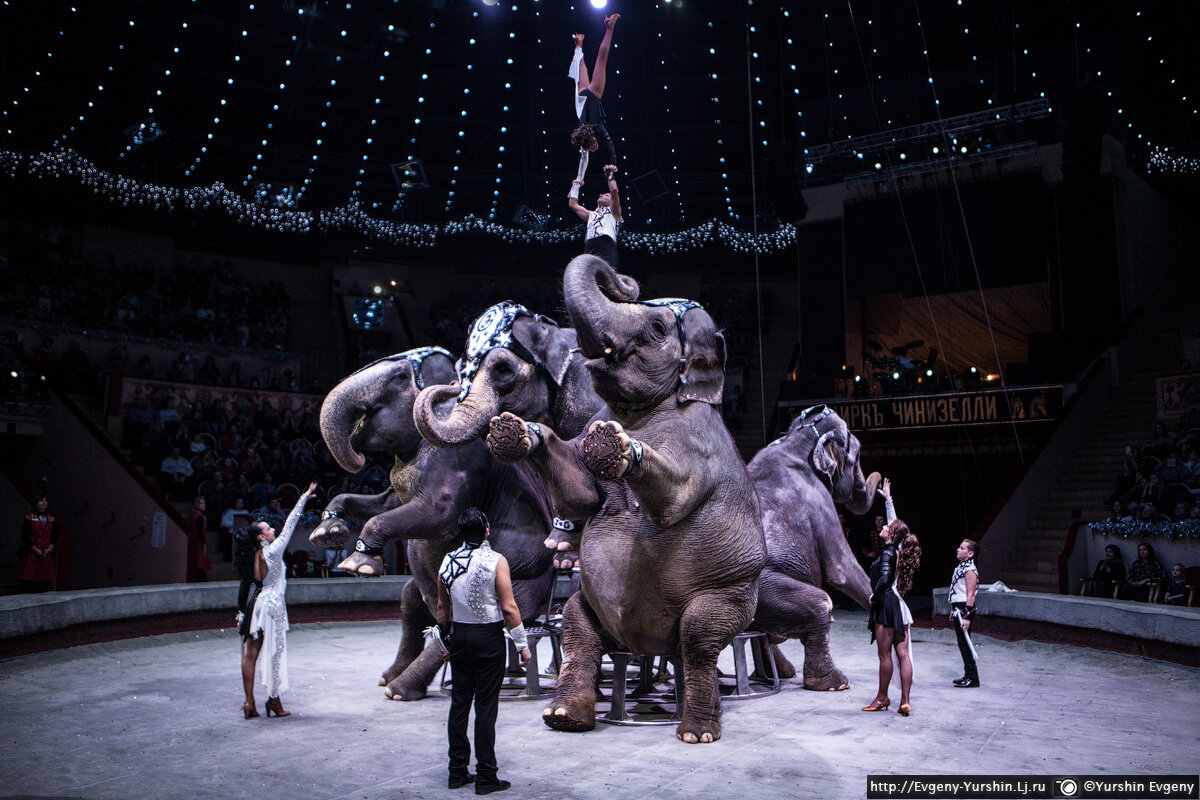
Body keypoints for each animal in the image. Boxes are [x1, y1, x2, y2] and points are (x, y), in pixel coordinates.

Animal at [482, 256, 763, 743]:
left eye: (657, 328)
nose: (625, 282)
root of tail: (647, 646)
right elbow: (579, 495)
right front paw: (514, 432)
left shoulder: (698, 441)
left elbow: (672, 500)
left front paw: (614, 445)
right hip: (589, 603)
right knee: (578, 628)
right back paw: (565, 716)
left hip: (733, 592)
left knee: (699, 636)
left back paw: (696, 731)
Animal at [748, 402, 883, 690]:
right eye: (858, 454)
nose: (882, 484)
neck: (793, 441)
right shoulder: (821, 504)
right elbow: (843, 570)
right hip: (763, 590)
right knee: (822, 603)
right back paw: (835, 683)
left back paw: (779, 674)